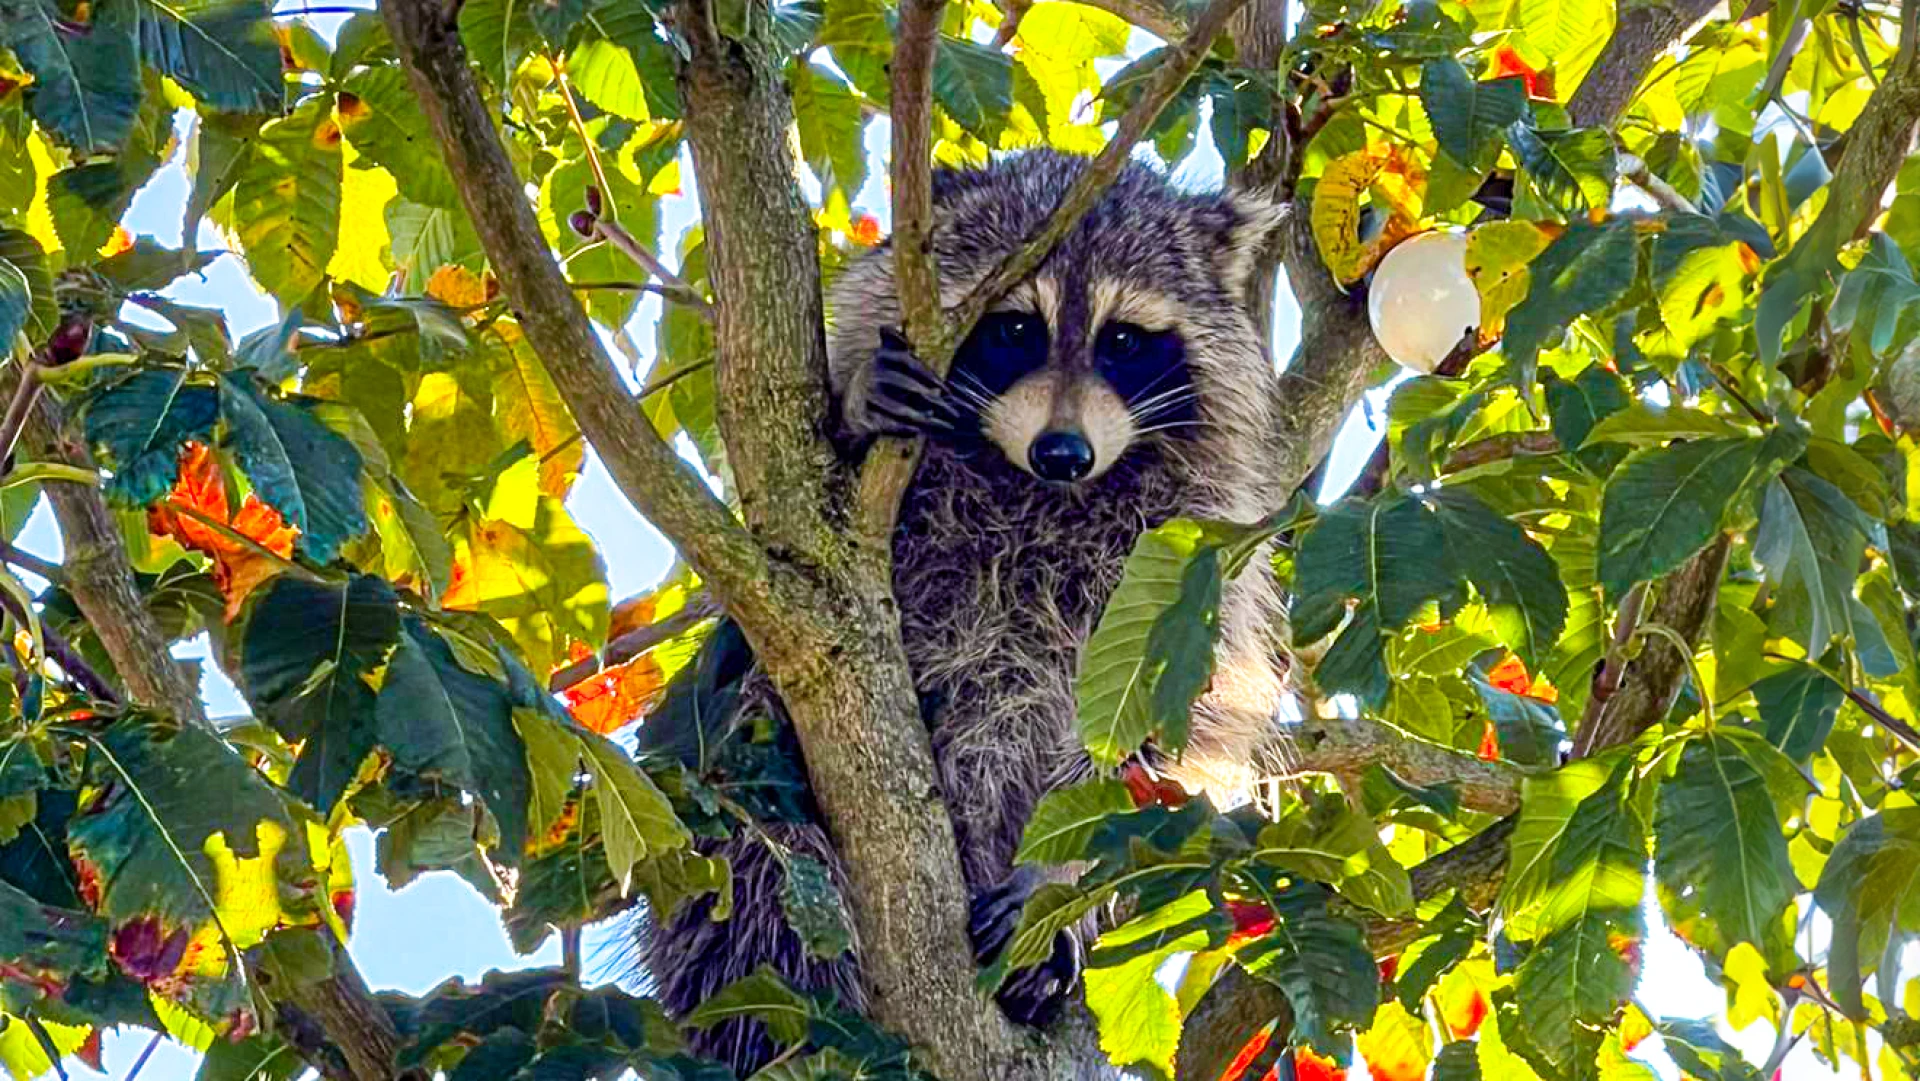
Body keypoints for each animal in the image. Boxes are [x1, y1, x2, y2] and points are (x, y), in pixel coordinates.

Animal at [629, 149, 1290, 1075]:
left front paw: (1054, 874)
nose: (1063, 452)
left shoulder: (1193, 565)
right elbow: (792, 525)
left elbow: (1149, 737)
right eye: (1014, 328)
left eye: (1123, 341)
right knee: (755, 848)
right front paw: (858, 404)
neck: (1029, 488)